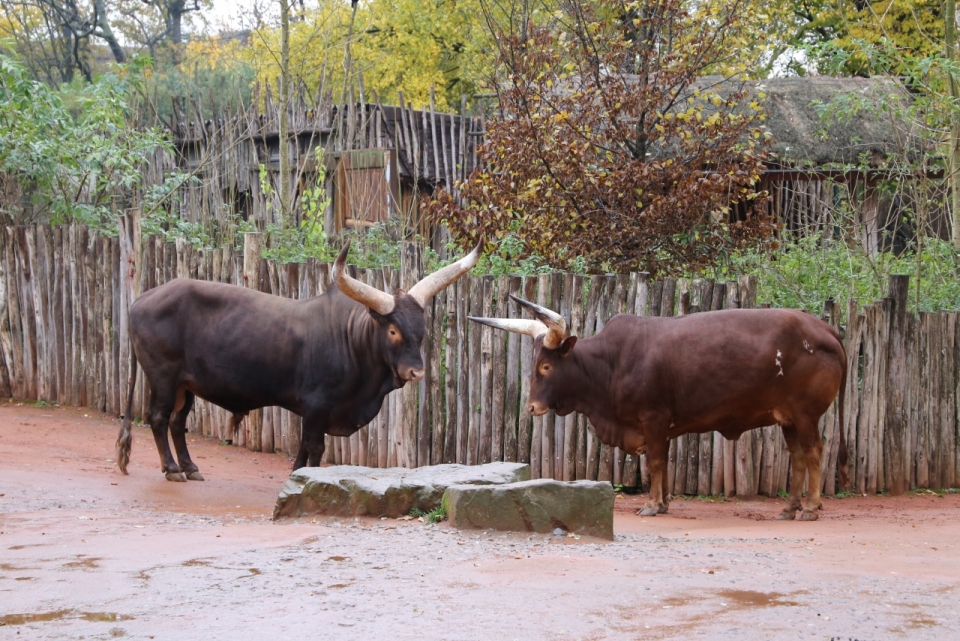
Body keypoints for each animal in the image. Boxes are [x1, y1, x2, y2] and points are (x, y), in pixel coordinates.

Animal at [117, 240, 480, 480]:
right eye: (392, 330)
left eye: (422, 328)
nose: (415, 371)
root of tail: (140, 302)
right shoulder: (317, 408)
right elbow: (314, 448)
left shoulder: (314, 413)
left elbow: (305, 448)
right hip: (163, 378)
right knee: (158, 418)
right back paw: (172, 469)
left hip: (187, 385)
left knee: (178, 422)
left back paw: (190, 467)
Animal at [470, 298, 848, 524]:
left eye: (546, 366)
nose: (532, 407)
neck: (611, 363)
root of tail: (825, 329)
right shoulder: (662, 427)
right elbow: (663, 463)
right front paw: (664, 502)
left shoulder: (653, 420)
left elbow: (654, 462)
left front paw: (652, 504)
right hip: (788, 418)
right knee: (797, 456)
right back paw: (789, 507)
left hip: (805, 415)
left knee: (814, 452)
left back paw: (810, 508)